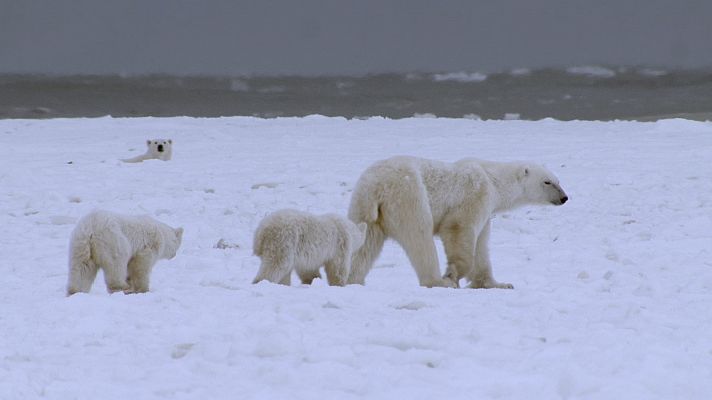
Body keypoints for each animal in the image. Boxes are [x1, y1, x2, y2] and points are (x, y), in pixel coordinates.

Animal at [347, 156, 568, 289]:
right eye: (547, 182)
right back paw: (438, 281)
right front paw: (452, 275)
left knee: (364, 243)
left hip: (365, 207)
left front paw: (499, 284)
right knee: (420, 236)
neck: (492, 180)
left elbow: (481, 246)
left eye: (559, 181)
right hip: (408, 194)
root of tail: (376, 186)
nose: (564, 198)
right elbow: (458, 229)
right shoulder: (475, 196)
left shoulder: (486, 213)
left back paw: (354, 279)